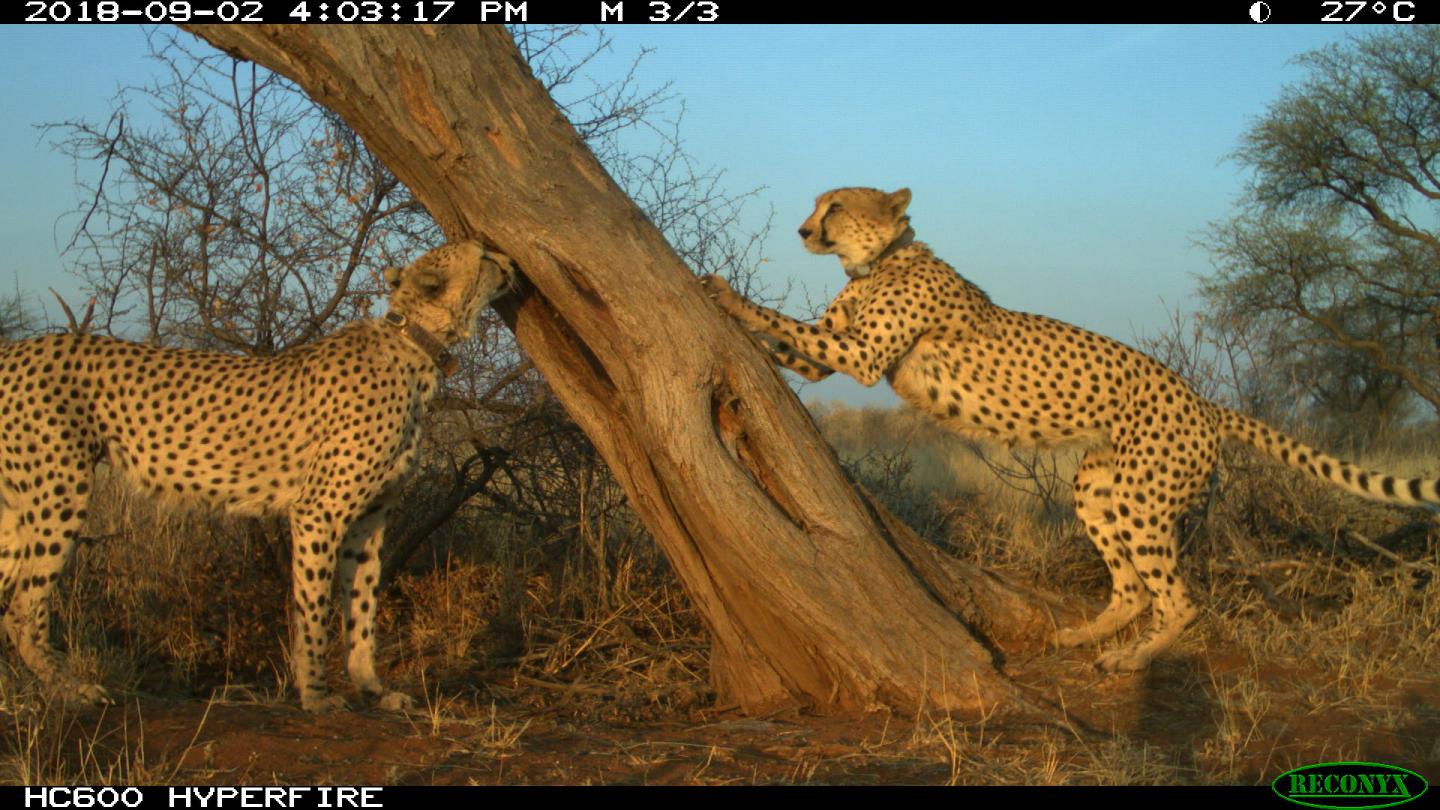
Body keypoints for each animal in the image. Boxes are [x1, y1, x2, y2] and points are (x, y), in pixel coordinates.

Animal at [0, 239, 518, 706]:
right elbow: (313, 607)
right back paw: (71, 690)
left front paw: (372, 687)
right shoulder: (319, 511)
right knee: (24, 606)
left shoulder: (371, 519)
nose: (510, 263)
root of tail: (19, 347)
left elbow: (362, 606)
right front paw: (316, 694)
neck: (416, 344)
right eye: (483, 256)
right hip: (59, 491)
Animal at [699, 187, 1440, 668]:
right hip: (1097, 486)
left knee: (1178, 598)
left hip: (1144, 499)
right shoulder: (832, 354)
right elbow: (790, 342)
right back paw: (1081, 638)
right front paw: (734, 320)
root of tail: (1202, 398)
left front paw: (724, 295)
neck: (880, 262)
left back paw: (1131, 661)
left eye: (835, 207)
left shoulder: (859, 356)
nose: (803, 232)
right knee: (1134, 586)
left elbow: (782, 321)